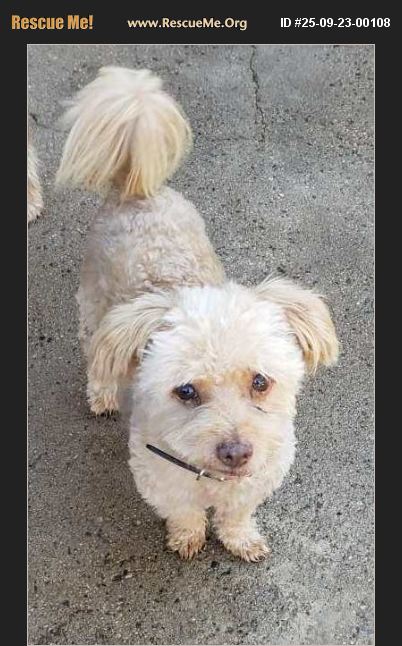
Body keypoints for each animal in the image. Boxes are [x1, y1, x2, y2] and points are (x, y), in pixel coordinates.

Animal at [56, 66, 339, 561]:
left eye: (260, 382)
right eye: (186, 391)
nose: (236, 452)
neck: (214, 478)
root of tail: (137, 189)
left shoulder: (257, 478)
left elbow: (236, 514)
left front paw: (240, 538)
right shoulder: (161, 478)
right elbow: (185, 513)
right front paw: (188, 537)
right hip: (93, 308)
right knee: (97, 355)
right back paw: (102, 394)